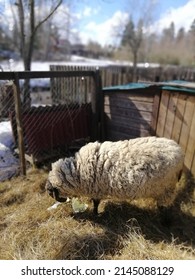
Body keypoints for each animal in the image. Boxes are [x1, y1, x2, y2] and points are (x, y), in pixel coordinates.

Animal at [46, 136, 184, 214]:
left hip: (166, 189)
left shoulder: (96, 190)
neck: (78, 170)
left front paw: (95, 214)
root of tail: (180, 153)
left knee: (164, 208)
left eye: (50, 192)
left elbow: (96, 203)